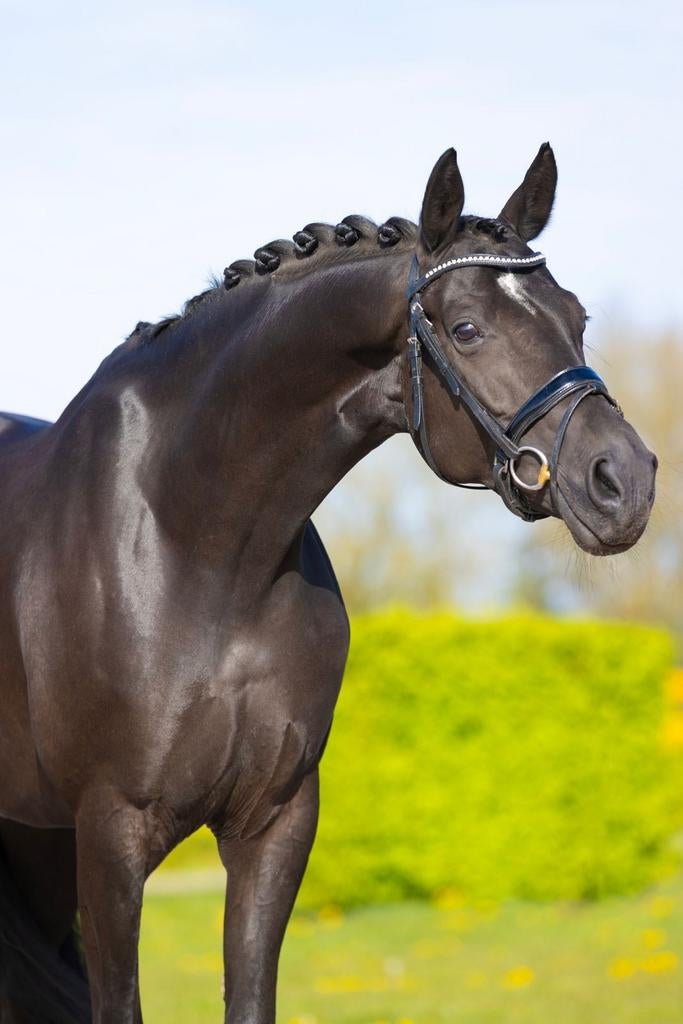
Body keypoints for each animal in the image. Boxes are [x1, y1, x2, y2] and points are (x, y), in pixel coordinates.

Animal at [0, 144, 657, 1023]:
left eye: (576, 317)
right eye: (466, 328)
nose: (623, 481)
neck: (197, 548)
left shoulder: (275, 823)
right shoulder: (109, 835)